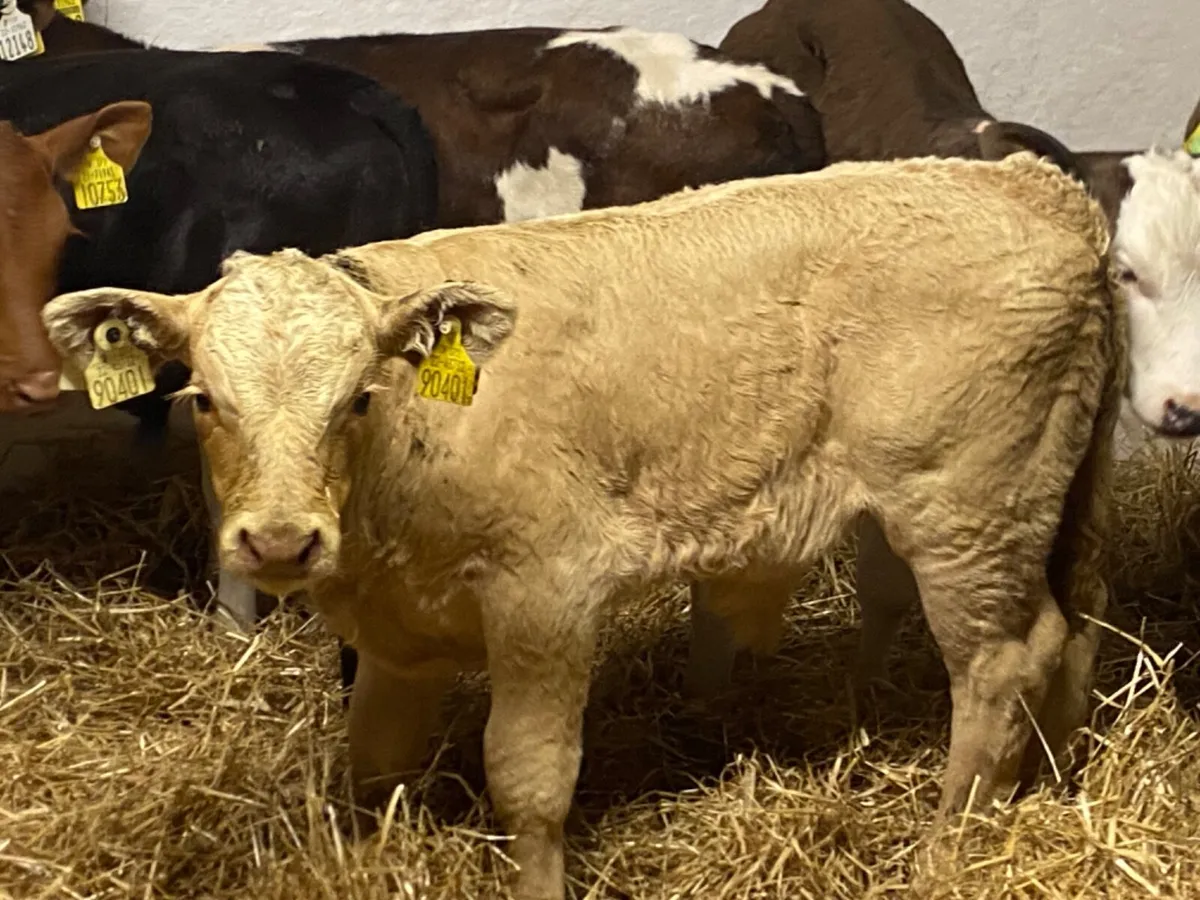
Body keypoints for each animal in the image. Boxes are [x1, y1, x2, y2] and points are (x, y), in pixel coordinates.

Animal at [43, 153, 1123, 900]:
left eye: (356, 397)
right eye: (205, 399)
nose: (278, 542)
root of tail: (1029, 183)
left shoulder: (546, 596)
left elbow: (528, 778)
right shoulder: (396, 638)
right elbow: (373, 764)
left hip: (965, 508)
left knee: (1004, 663)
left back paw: (947, 848)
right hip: (1043, 506)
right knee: (1074, 632)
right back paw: (1052, 785)